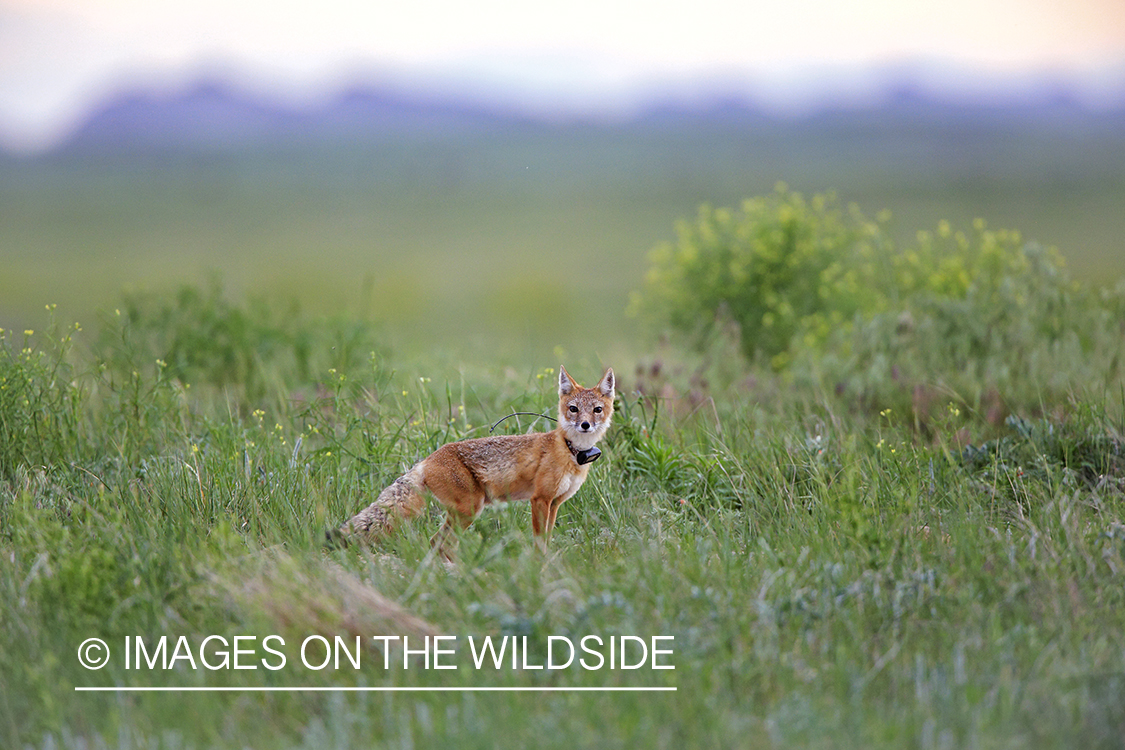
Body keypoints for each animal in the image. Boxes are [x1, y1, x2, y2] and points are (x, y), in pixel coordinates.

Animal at [333, 365, 614, 555]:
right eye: (573, 409)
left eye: (597, 410)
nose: (586, 425)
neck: (569, 450)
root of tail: (426, 460)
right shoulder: (539, 500)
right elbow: (539, 543)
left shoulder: (554, 503)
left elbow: (547, 539)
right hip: (470, 509)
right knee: (441, 543)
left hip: (462, 514)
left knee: (438, 543)